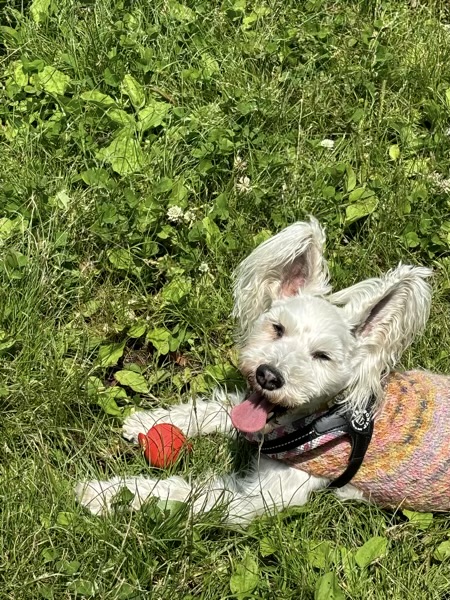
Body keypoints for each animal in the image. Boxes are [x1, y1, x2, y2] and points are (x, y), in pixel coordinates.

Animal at [77, 218, 448, 525]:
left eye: (322, 356)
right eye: (278, 329)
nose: (269, 376)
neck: (327, 417)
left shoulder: (261, 496)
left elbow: (190, 496)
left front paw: (108, 494)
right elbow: (215, 410)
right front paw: (148, 422)